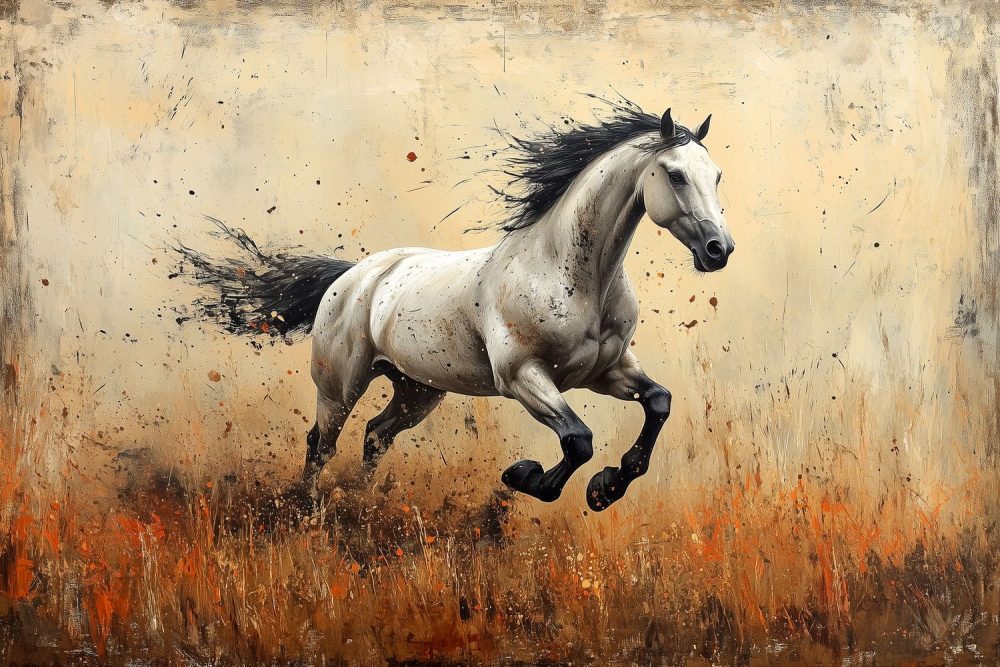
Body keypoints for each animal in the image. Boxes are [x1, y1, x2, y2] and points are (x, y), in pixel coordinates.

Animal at [177, 102, 734, 511]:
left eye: (717, 176)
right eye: (676, 175)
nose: (719, 250)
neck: (567, 273)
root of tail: (353, 276)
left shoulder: (606, 370)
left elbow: (658, 402)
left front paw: (608, 485)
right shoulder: (522, 377)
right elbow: (578, 439)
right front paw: (529, 476)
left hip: (416, 389)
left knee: (376, 436)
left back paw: (363, 504)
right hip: (339, 386)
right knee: (322, 443)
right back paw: (307, 510)